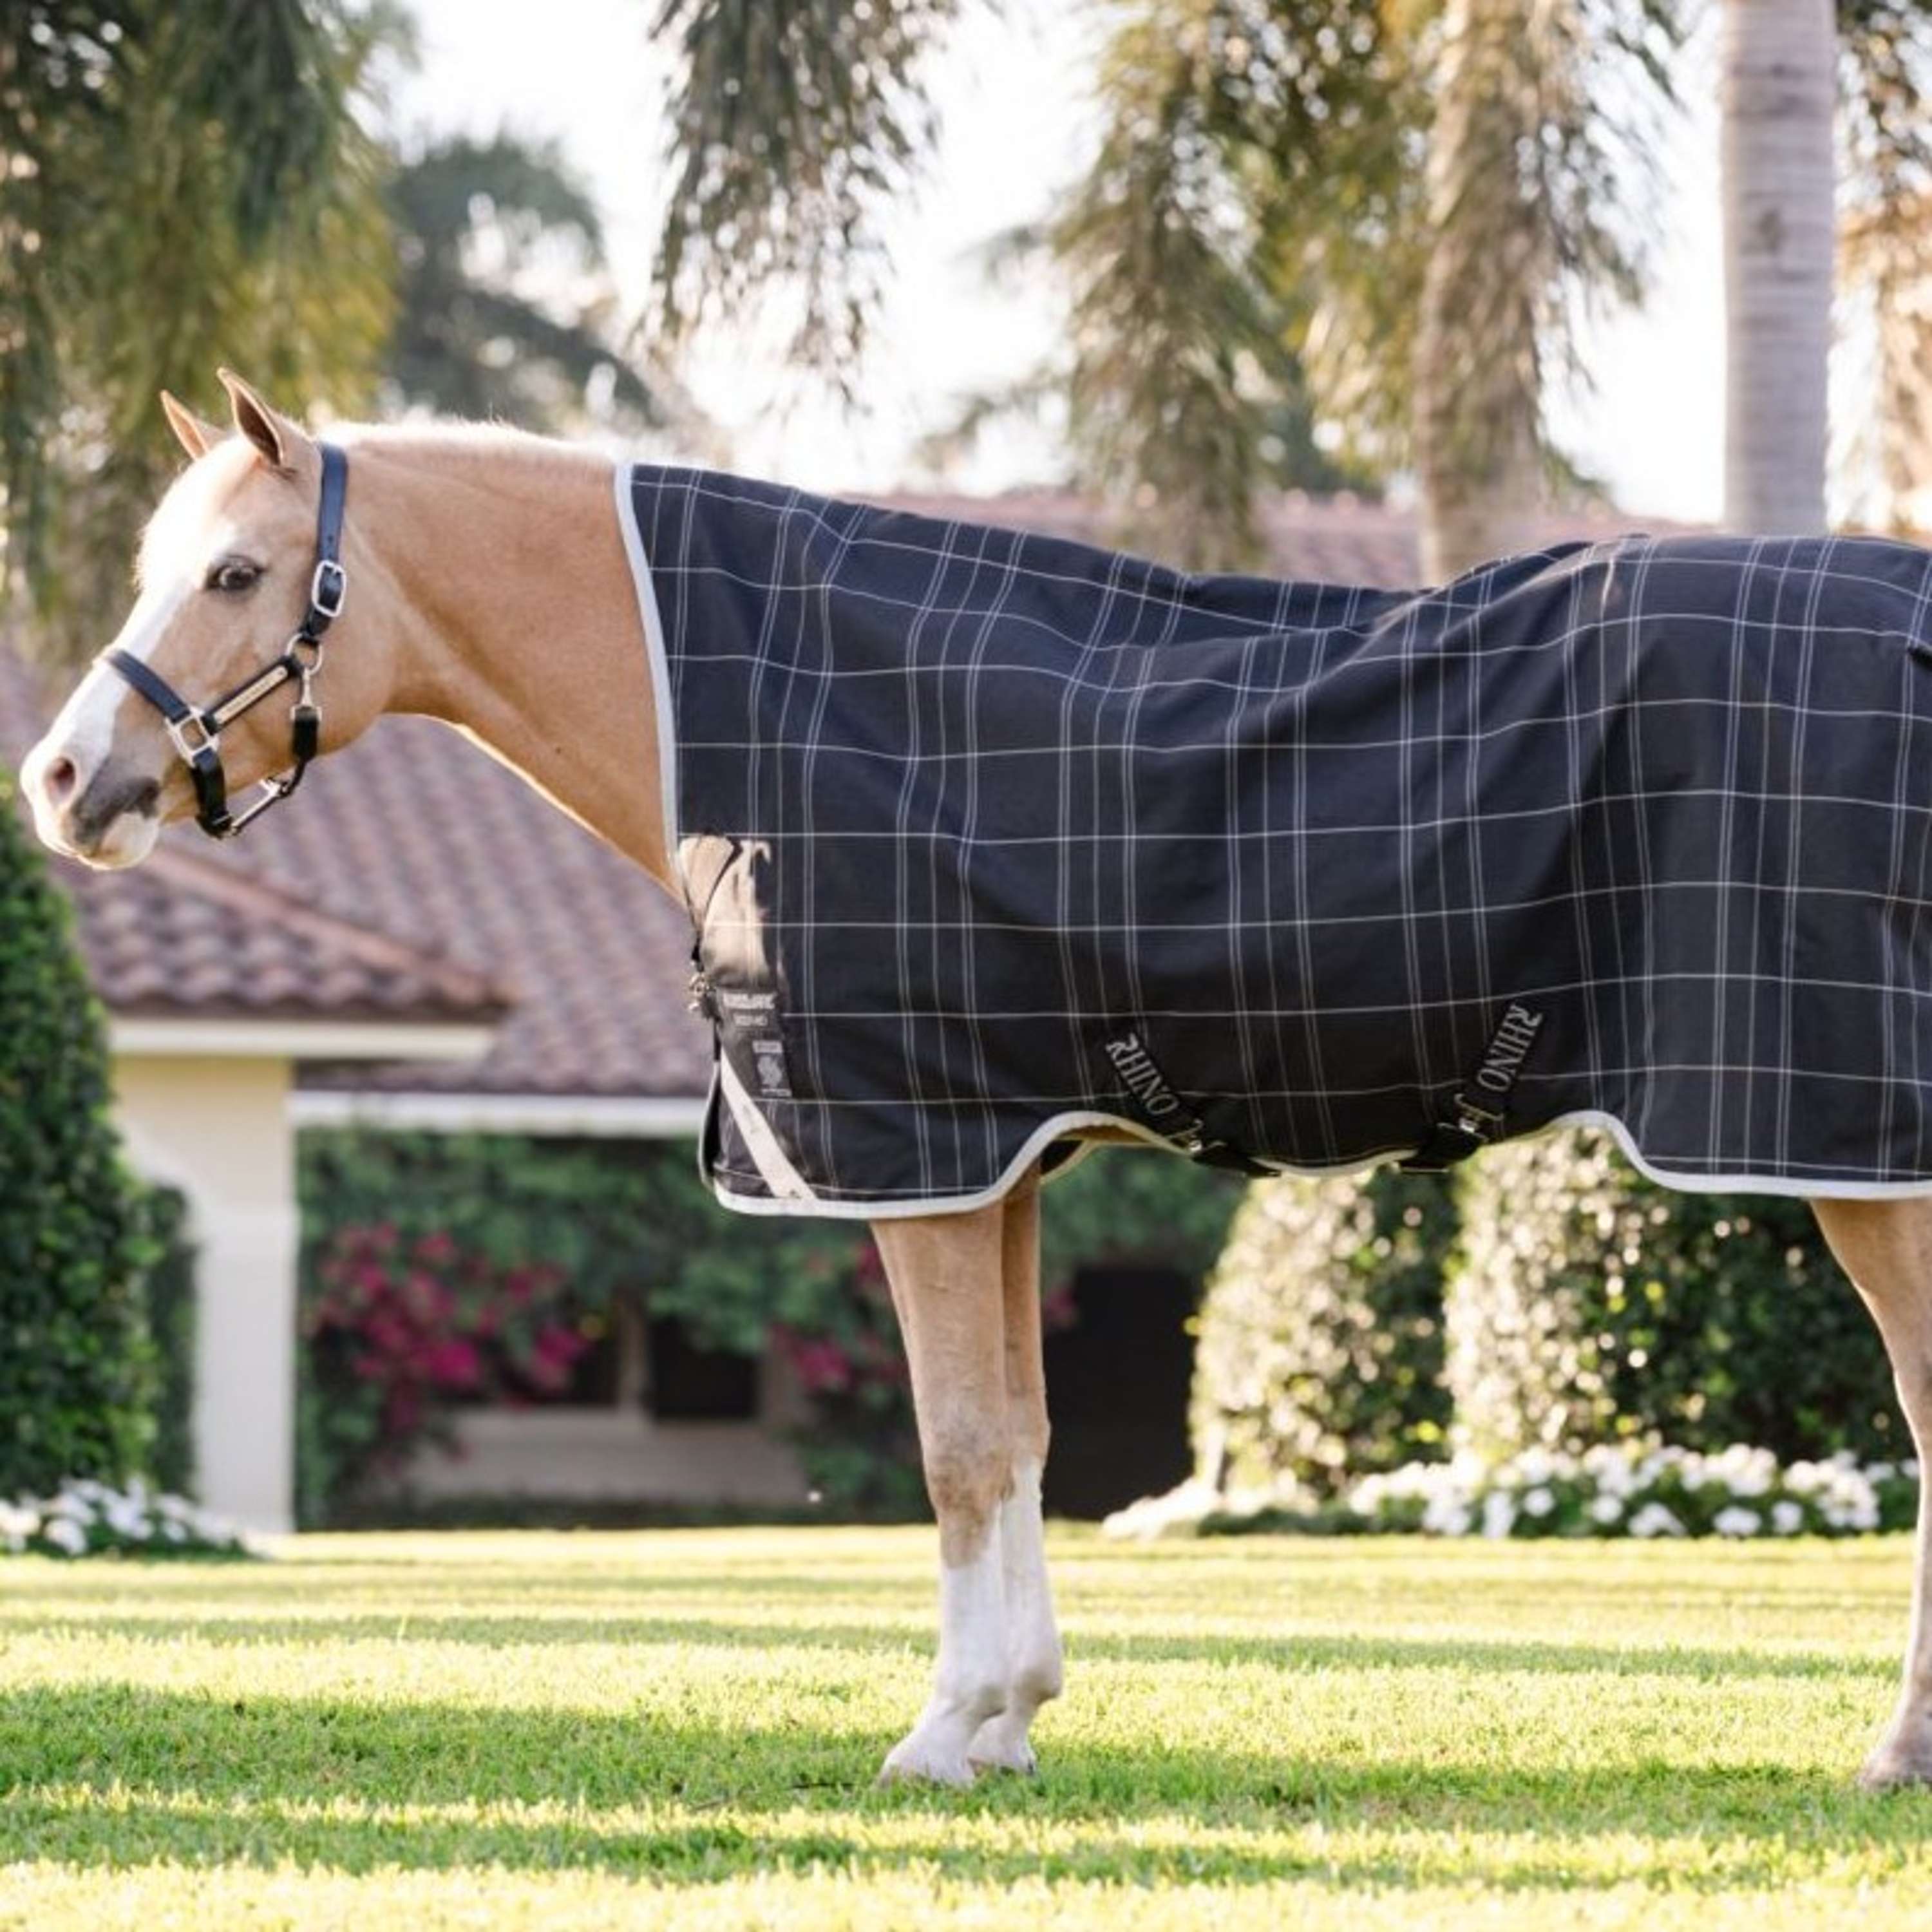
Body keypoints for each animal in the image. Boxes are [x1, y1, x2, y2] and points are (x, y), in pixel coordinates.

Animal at [19, 370, 1932, 1792]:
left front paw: (941, 1735)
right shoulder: (997, 1158)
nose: (59, 779)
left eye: (240, 574)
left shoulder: (911, 1148)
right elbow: (1008, 1431)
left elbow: (951, 1445)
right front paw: (1007, 1716)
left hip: (1864, 1153)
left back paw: (1895, 1753)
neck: (757, 700)